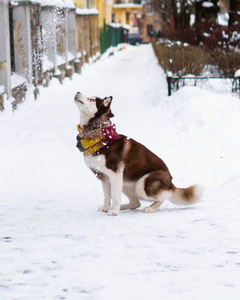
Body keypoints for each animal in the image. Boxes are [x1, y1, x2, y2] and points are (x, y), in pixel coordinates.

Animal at [74, 91, 202, 216]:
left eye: (92, 99)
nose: (77, 92)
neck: (99, 138)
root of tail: (170, 181)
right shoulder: (104, 177)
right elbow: (107, 195)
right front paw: (106, 208)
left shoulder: (114, 175)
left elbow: (115, 196)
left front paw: (114, 211)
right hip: (126, 182)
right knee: (136, 203)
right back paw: (123, 207)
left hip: (142, 184)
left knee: (164, 196)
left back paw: (150, 208)